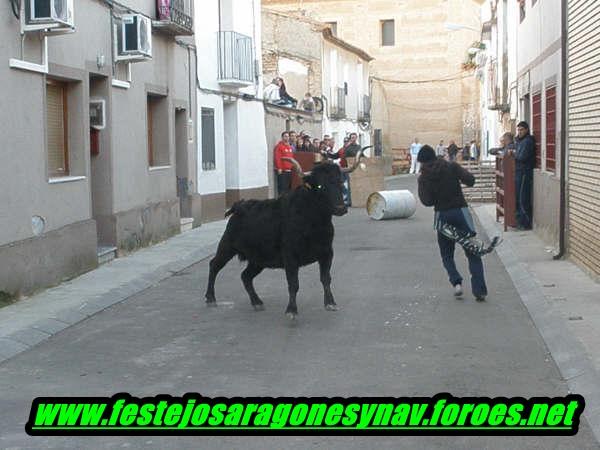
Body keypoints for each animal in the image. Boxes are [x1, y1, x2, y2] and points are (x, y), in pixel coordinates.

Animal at [204, 149, 368, 318]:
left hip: (258, 260)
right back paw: (211, 298)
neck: (314, 222)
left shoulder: (327, 253)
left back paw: (257, 302)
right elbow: (293, 284)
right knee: (214, 265)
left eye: (340, 182)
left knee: (245, 276)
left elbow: (325, 278)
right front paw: (291, 310)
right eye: (320, 185)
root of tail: (239, 206)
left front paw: (330, 303)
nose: (341, 208)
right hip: (227, 247)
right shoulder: (290, 257)